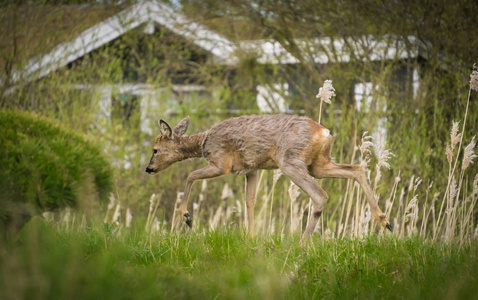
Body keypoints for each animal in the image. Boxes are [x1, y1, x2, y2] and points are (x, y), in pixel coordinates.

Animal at [146, 113, 392, 238]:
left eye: (155, 150)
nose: (148, 169)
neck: (203, 143)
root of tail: (325, 132)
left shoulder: (221, 163)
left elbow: (190, 175)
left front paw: (186, 216)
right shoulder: (252, 169)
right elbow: (250, 201)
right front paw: (251, 238)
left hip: (290, 162)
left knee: (320, 195)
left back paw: (303, 244)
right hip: (318, 164)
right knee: (357, 169)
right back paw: (384, 220)